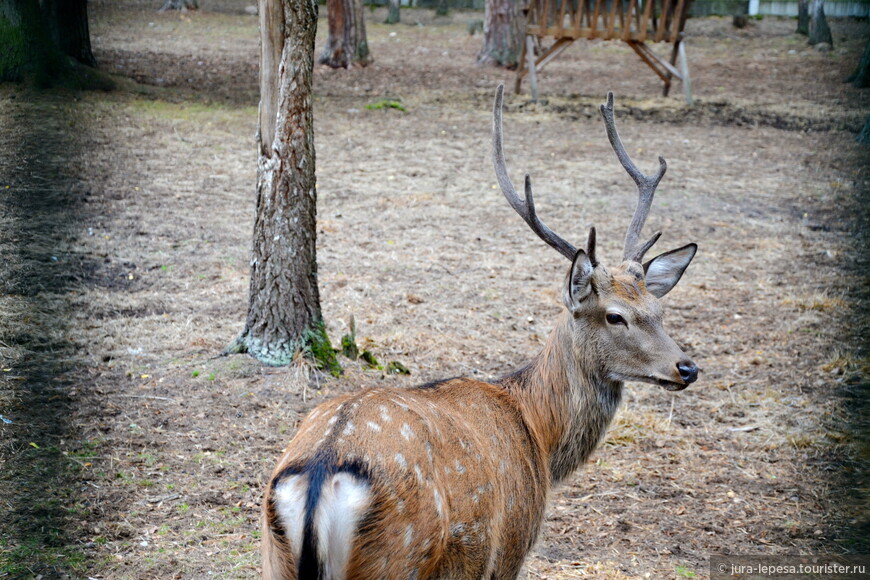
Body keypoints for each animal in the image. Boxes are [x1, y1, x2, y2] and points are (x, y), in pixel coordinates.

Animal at [260, 85, 700, 580]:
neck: (538, 434)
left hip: (273, 558)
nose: (687, 367)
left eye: (657, 308)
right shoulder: (507, 550)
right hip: (397, 559)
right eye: (614, 316)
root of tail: (319, 476)